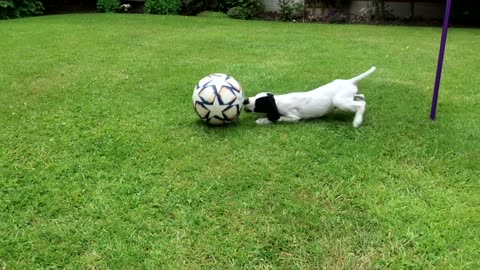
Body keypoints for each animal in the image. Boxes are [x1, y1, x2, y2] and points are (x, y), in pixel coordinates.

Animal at [244, 66, 376, 127]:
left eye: (259, 103)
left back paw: (357, 121)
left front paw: (262, 120)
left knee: (361, 104)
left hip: (339, 102)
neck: (278, 100)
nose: (245, 100)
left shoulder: (294, 117)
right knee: (362, 97)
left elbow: (278, 118)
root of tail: (349, 81)